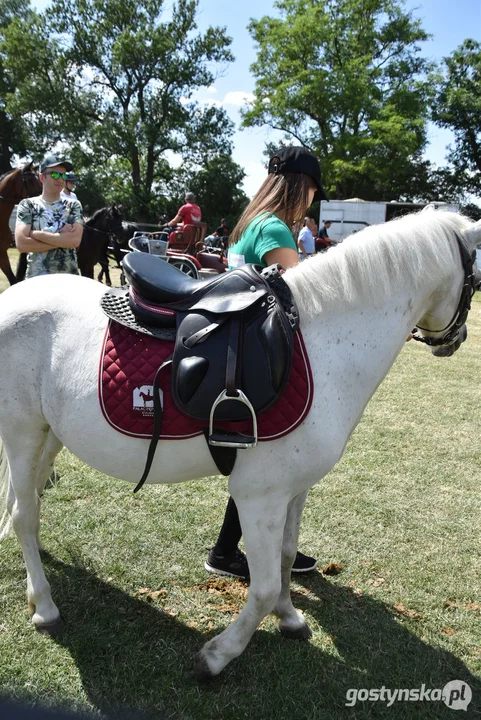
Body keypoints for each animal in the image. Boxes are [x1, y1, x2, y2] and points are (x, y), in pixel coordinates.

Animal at [0, 210, 478, 680]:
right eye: (476, 279)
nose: (455, 341)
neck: (323, 344)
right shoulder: (259, 495)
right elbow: (263, 588)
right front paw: (218, 655)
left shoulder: (294, 490)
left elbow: (285, 558)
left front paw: (290, 618)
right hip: (22, 433)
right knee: (24, 514)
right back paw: (44, 605)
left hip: (50, 434)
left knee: (29, 503)